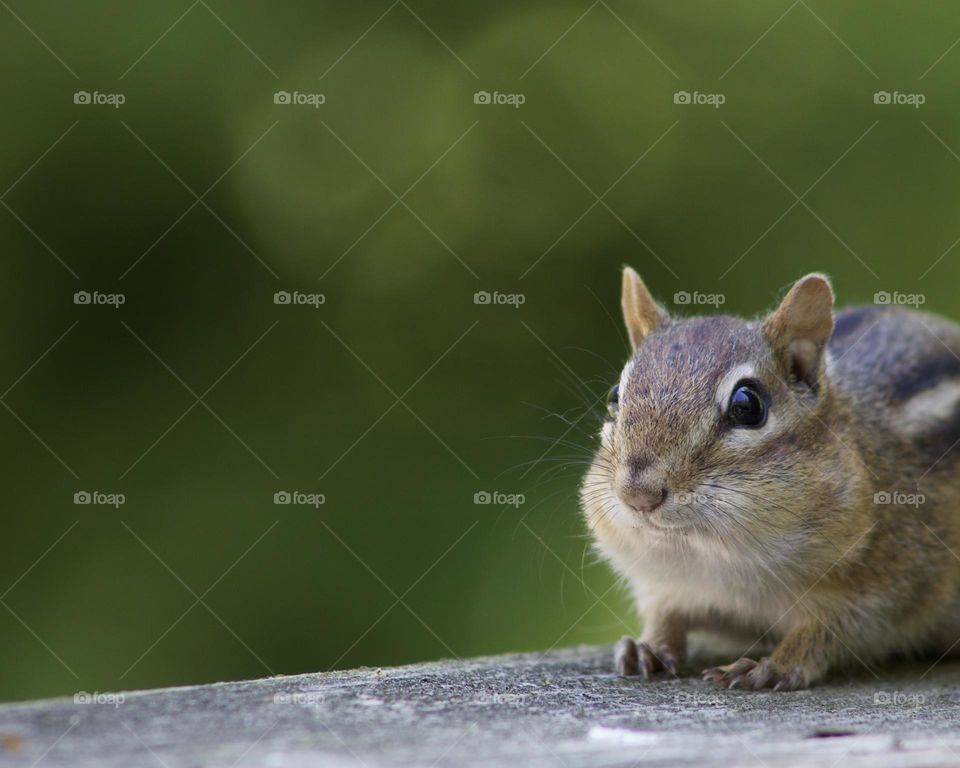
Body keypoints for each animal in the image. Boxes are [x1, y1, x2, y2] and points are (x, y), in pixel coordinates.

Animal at [581, 267, 960, 691]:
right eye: (615, 396)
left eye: (748, 405)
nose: (638, 495)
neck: (713, 559)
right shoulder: (664, 584)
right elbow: (666, 615)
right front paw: (648, 646)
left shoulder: (883, 585)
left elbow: (822, 633)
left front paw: (770, 666)